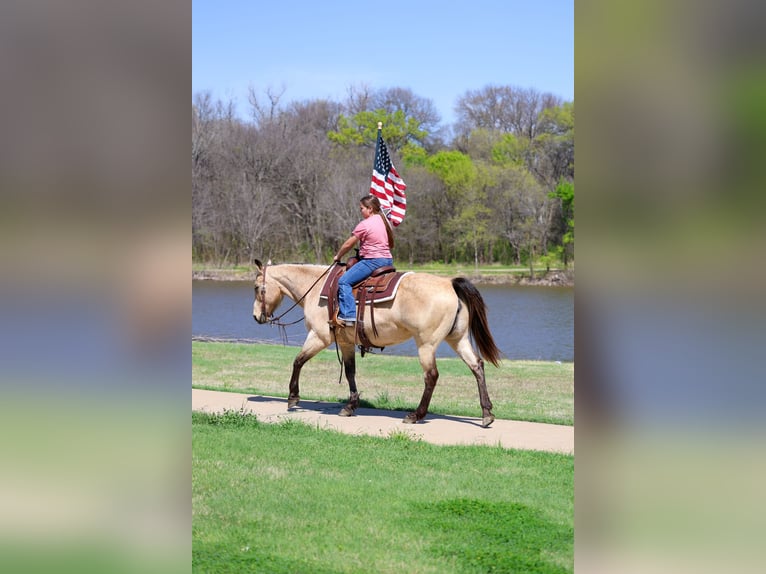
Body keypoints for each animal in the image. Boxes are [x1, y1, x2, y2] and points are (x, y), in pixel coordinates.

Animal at [252, 259, 501, 427]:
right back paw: (487, 414)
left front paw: (292, 398)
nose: (256, 317)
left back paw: (416, 415)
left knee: (431, 376)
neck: (317, 288)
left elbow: (298, 361)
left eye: (256, 288)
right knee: (476, 366)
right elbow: (350, 372)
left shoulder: (319, 337)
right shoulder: (345, 342)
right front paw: (350, 406)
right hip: (457, 339)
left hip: (426, 344)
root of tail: (449, 284)